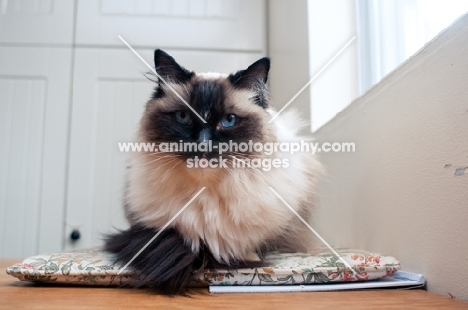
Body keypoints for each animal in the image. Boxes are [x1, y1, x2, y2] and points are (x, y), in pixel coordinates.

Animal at [103, 49, 322, 294]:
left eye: (228, 120)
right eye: (183, 117)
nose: (202, 144)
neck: (205, 193)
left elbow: (249, 246)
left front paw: (249, 257)